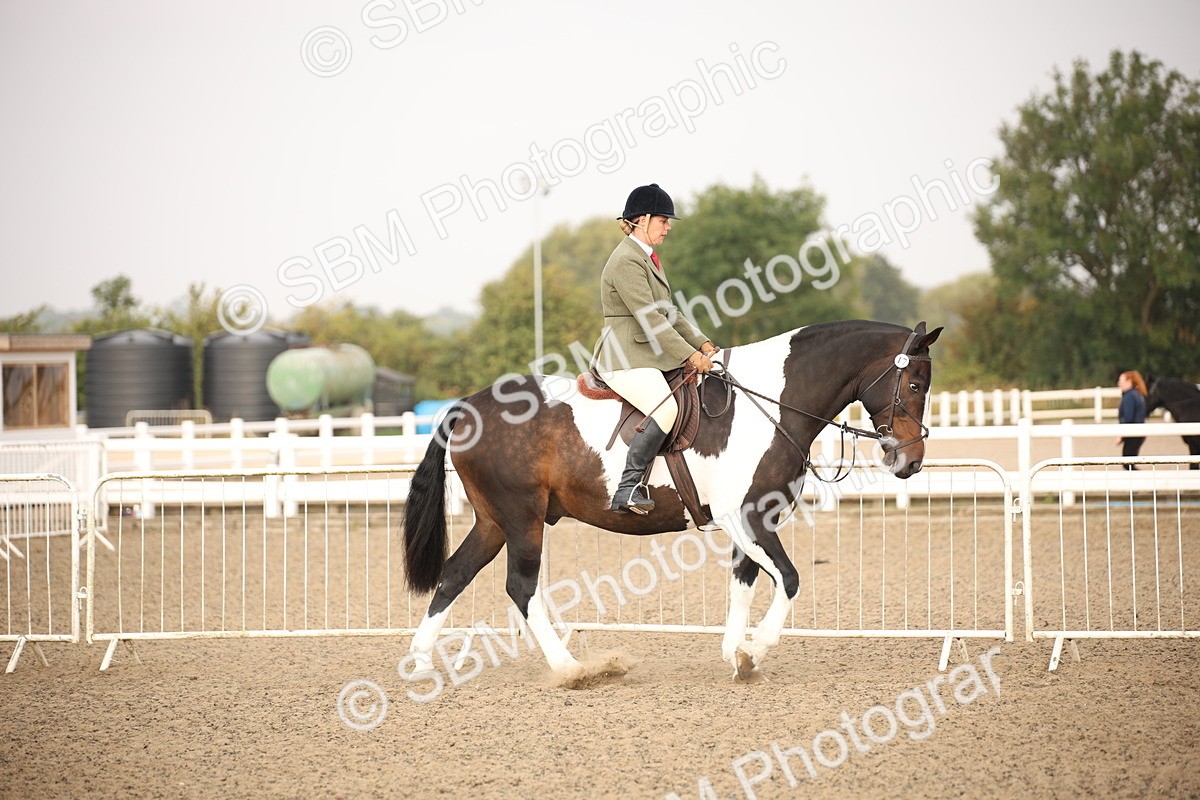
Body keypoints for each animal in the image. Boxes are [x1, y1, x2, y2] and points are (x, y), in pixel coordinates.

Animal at [403, 319, 943, 681]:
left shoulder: (749, 524)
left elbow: (743, 585)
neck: (770, 405)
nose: (911, 461)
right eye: (915, 383)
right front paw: (755, 651)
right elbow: (788, 580)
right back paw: (572, 668)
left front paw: (737, 657)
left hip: (494, 521)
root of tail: (467, 406)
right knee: (521, 587)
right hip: (522, 519)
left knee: (454, 575)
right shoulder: (747, 517)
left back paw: (419, 664)